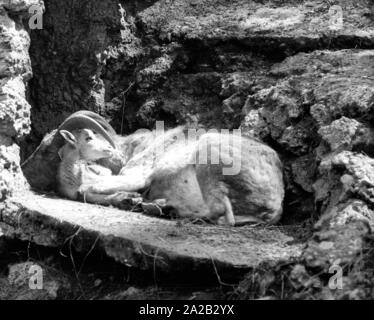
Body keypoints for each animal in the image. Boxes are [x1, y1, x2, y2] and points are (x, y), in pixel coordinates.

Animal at [55, 111, 284, 226]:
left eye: (89, 136)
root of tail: (275, 203)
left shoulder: (137, 175)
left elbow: (88, 189)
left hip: (209, 152)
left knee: (221, 214)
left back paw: (160, 207)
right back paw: (161, 205)